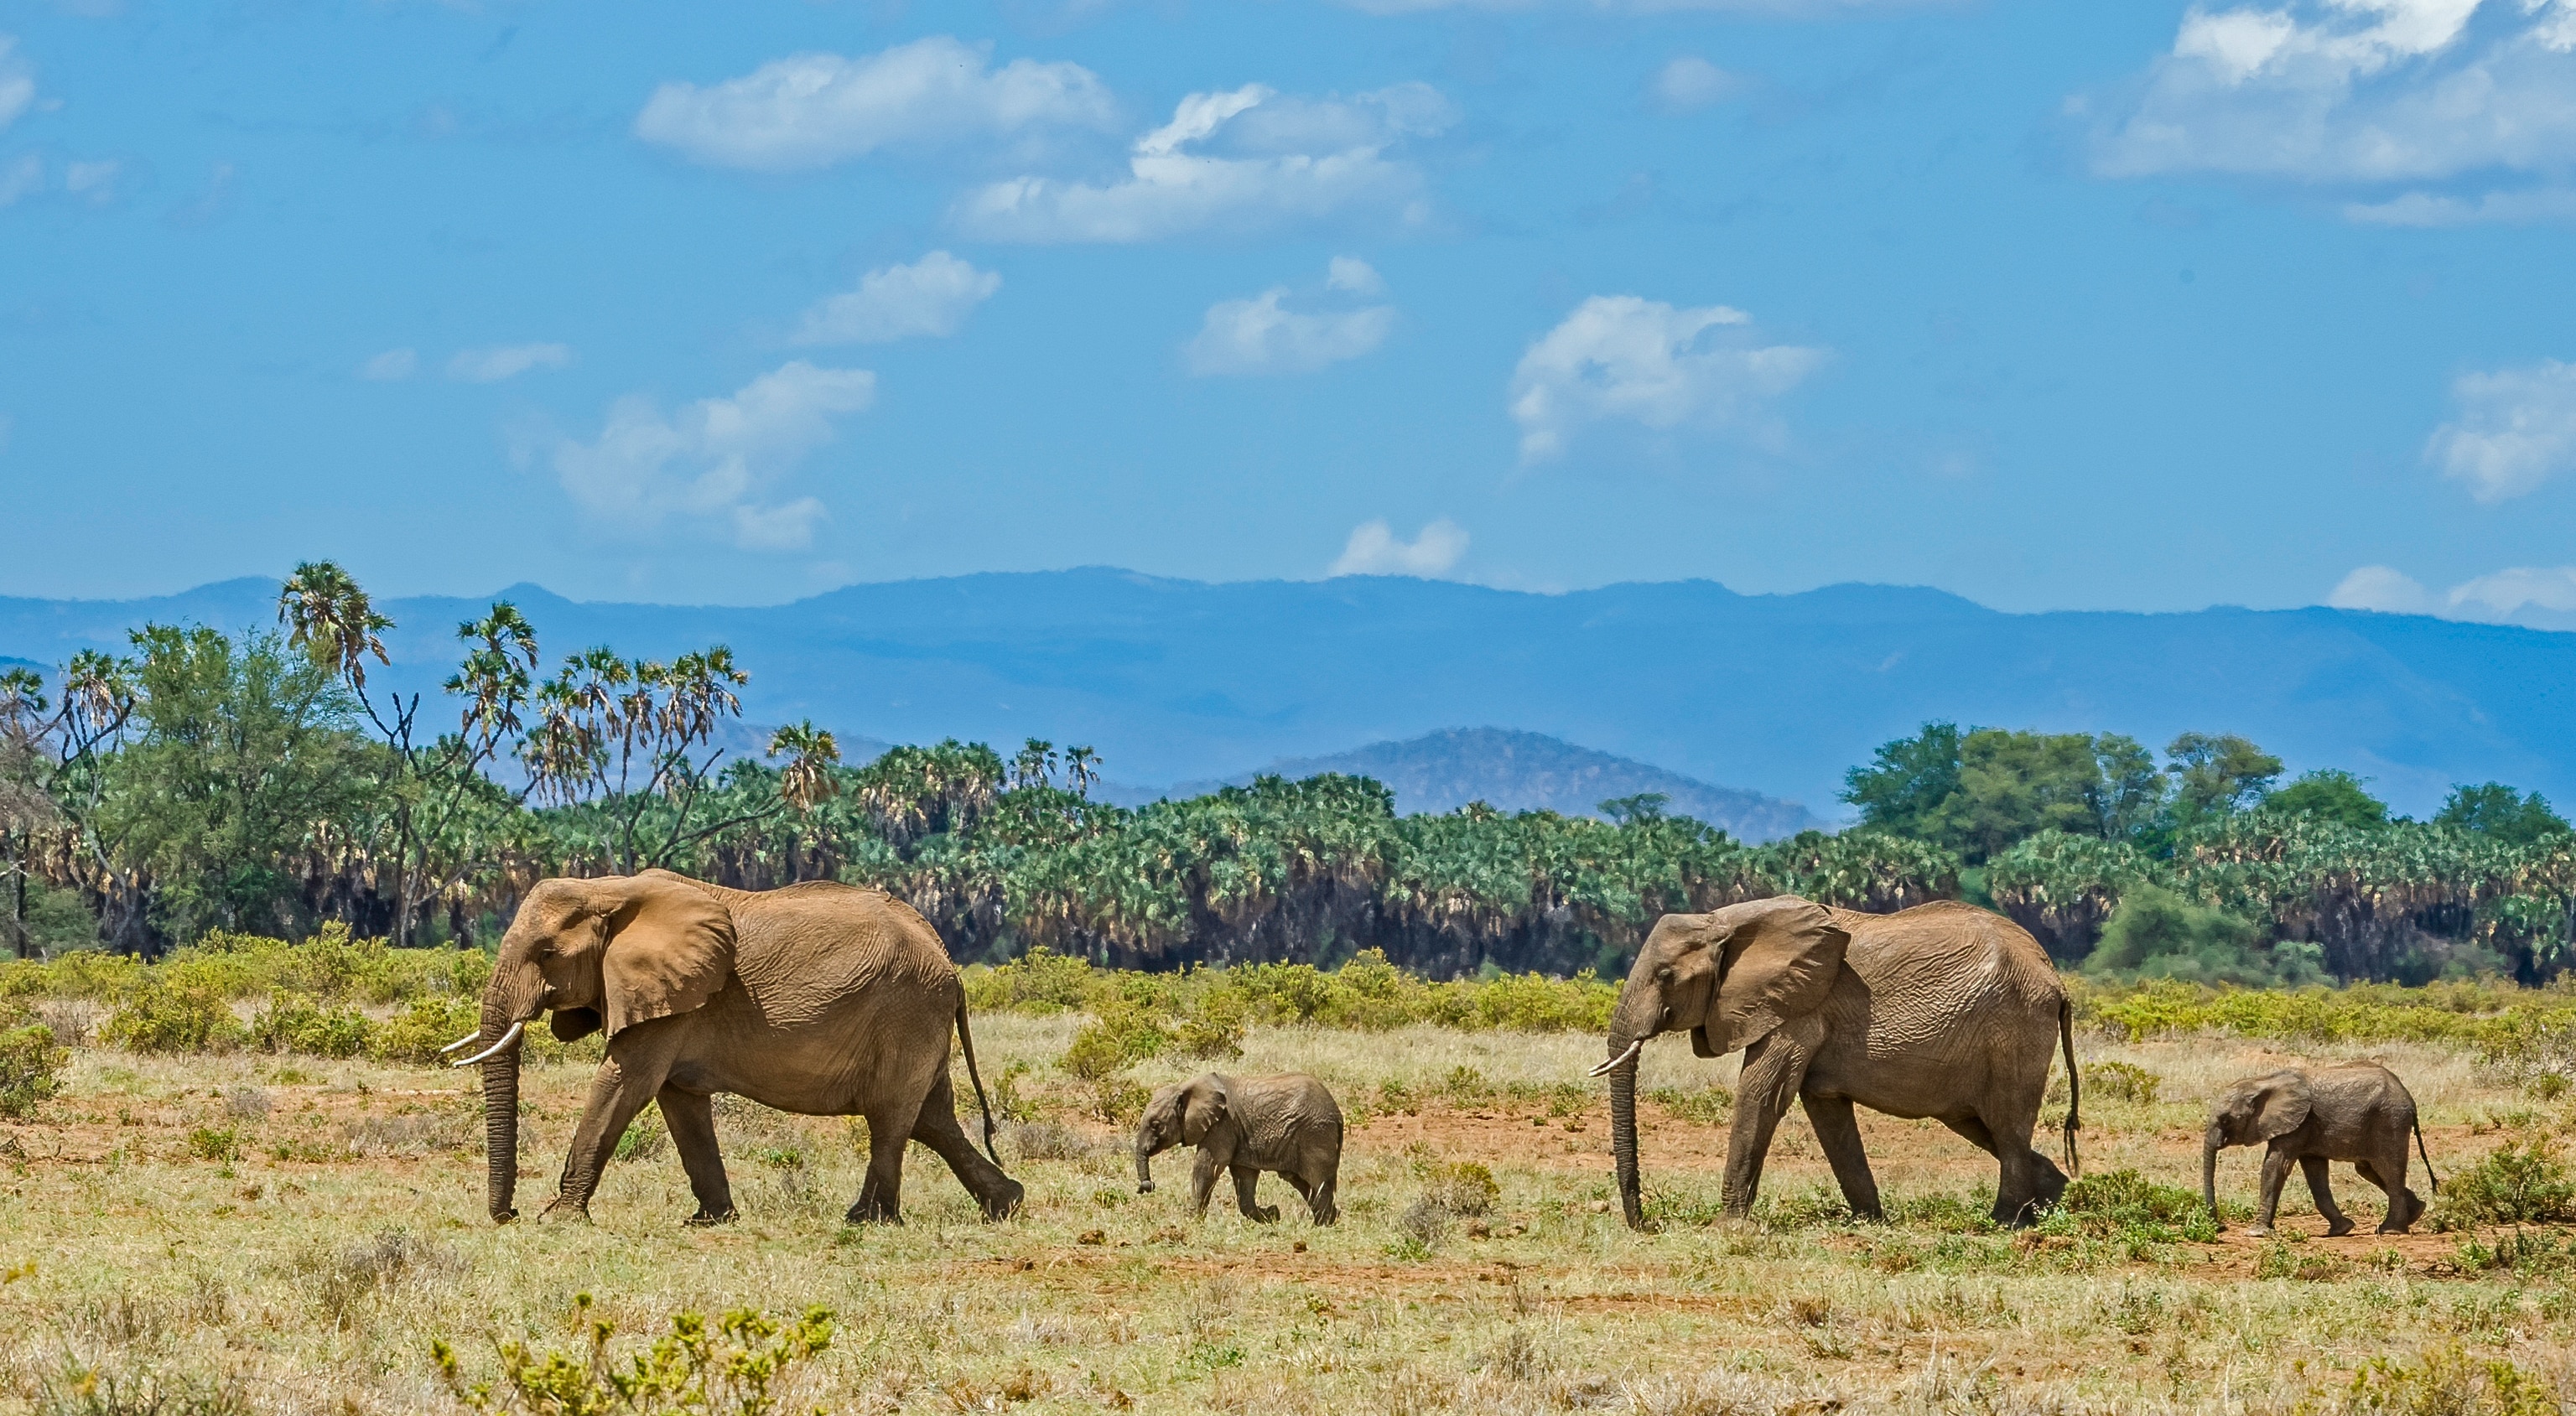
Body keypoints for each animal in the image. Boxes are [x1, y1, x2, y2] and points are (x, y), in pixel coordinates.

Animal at [446, 869, 1023, 1227]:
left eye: (547, 953)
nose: (508, 1216)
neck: (607, 890)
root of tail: (948, 961)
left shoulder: (672, 999)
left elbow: (623, 1085)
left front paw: (561, 1219)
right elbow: (678, 1103)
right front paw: (711, 1220)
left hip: (906, 1012)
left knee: (890, 1119)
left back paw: (865, 1220)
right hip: (919, 1019)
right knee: (931, 1119)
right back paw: (1006, 1205)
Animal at [1133, 1072, 1343, 1225]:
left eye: (1156, 1125)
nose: (1148, 1186)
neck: (1185, 1087)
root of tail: (1338, 1113)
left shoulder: (1222, 1125)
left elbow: (1207, 1167)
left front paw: (1193, 1220)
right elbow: (1244, 1178)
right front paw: (1272, 1215)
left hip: (1315, 1134)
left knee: (1318, 1180)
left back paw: (1322, 1225)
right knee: (1301, 1181)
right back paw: (1332, 1218)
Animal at [1594, 896, 2080, 1230]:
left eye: (1665, 976)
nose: (1645, 1225)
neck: (1725, 920)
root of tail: (2057, 981)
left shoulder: (1799, 1008)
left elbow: (1761, 1094)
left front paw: (1726, 1228)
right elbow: (1826, 1112)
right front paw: (1869, 1222)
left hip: (2014, 1028)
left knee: (2007, 1124)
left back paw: (2003, 1222)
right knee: (1984, 1125)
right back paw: (2047, 1202)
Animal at [2201, 1062, 2437, 1236]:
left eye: (2225, 1120)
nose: (2219, 1227)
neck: (2262, 1082)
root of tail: (2409, 1098)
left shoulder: (2298, 1122)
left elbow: (2276, 1165)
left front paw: (2257, 1233)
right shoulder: (2306, 1128)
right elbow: (2315, 1173)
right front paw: (2341, 1230)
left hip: (2389, 1121)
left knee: (2387, 1170)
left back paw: (2390, 1231)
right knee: (2369, 1170)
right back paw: (2416, 1212)